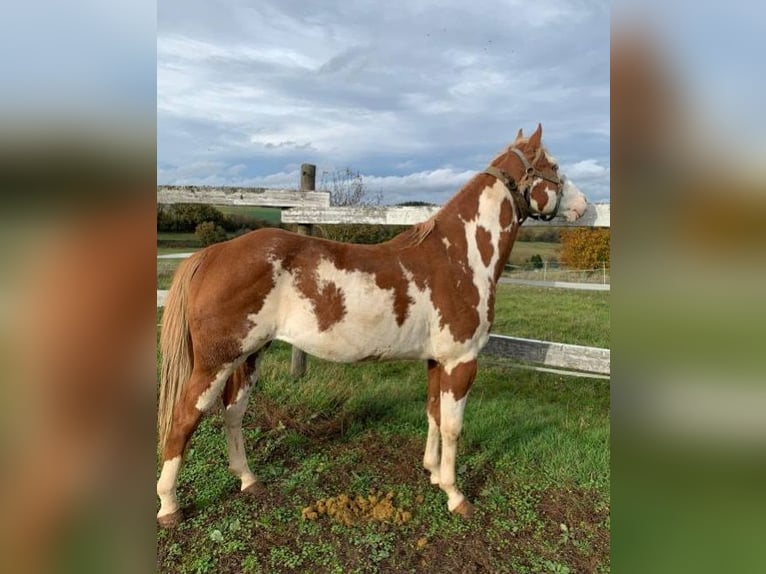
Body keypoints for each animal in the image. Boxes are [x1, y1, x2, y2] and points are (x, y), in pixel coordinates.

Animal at [156, 124, 588, 528]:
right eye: (554, 166)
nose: (583, 206)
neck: (458, 256)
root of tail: (212, 253)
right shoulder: (461, 361)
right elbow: (453, 427)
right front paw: (455, 494)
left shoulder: (436, 361)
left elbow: (433, 414)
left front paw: (432, 473)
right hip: (216, 360)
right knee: (183, 419)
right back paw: (169, 506)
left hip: (249, 355)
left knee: (233, 413)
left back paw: (248, 479)